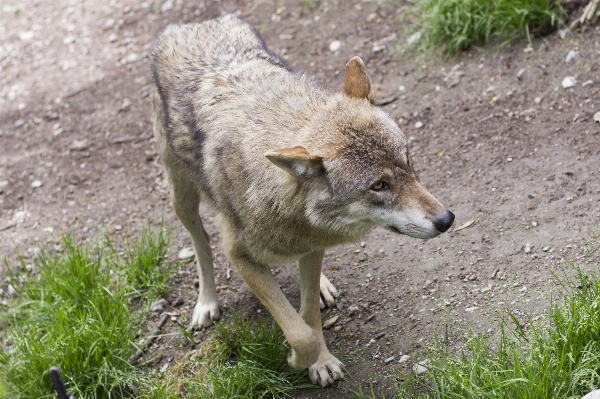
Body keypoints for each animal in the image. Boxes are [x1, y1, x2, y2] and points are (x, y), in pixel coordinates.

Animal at [151, 14, 454, 388]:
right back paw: (206, 303)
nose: (446, 219)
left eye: (408, 163)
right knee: (201, 244)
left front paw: (320, 361)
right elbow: (299, 333)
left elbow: (307, 315)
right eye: (379, 185)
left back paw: (322, 286)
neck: (289, 211)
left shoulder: (312, 245)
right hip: (181, 199)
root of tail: (197, 22)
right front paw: (296, 359)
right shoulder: (240, 258)